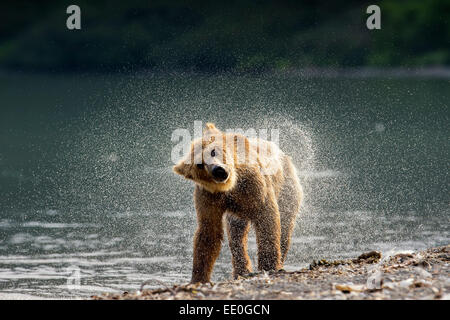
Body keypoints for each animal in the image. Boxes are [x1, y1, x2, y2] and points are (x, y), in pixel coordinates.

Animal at [172, 122, 302, 282]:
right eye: (200, 165)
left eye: (213, 152)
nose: (218, 170)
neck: (232, 186)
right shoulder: (208, 197)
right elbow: (208, 233)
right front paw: (198, 277)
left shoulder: (255, 185)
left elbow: (266, 218)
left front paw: (268, 265)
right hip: (236, 215)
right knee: (236, 236)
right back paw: (242, 270)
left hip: (287, 189)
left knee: (285, 224)